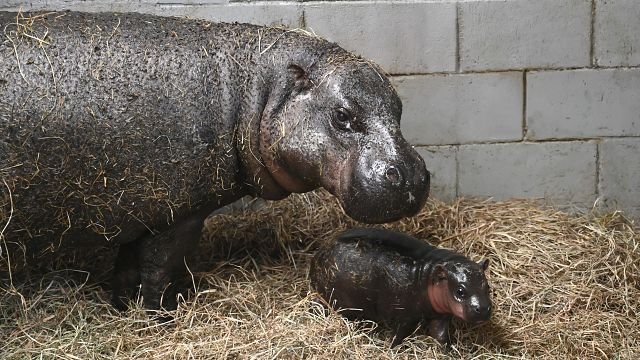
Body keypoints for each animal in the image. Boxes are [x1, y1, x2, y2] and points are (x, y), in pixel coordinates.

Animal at [1, 10, 430, 310]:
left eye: (399, 107)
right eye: (342, 116)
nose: (411, 175)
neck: (256, 92)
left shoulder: (140, 211)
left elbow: (126, 269)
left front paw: (122, 308)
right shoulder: (177, 216)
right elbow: (157, 271)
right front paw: (160, 315)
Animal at [310, 229, 490, 348]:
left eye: (487, 286)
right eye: (460, 291)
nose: (483, 308)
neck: (429, 275)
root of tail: (319, 253)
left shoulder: (440, 315)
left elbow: (440, 335)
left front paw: (450, 350)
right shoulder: (405, 317)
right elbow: (399, 336)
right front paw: (390, 349)